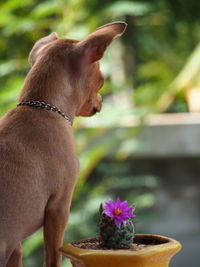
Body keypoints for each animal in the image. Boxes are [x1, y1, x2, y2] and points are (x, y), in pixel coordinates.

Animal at [0, 22, 126, 266]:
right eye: (102, 80)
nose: (102, 100)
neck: (40, 107)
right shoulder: (59, 208)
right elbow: (53, 257)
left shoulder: (15, 245)